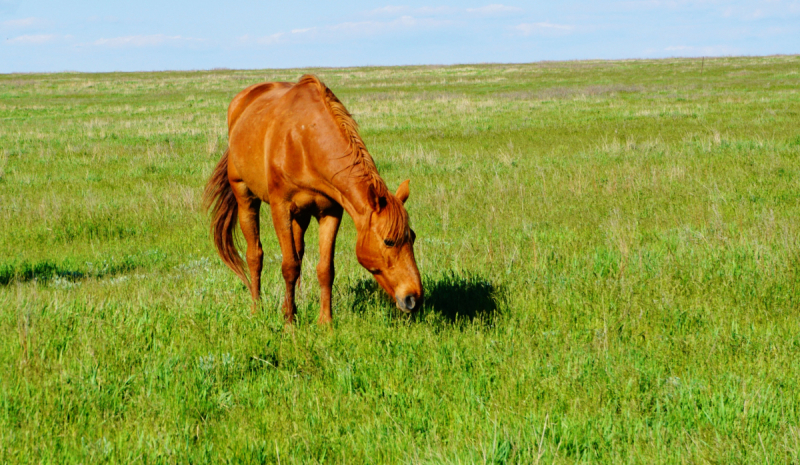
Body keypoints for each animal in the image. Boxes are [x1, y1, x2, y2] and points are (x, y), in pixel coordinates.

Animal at [203, 75, 422, 322]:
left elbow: (325, 269)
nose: (414, 298)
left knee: (297, 252)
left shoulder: (330, 212)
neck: (305, 141)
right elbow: (288, 266)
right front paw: (289, 323)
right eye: (389, 241)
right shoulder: (280, 208)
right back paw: (256, 307)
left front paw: (325, 321)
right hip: (245, 197)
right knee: (255, 255)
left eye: (412, 237)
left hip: (301, 215)